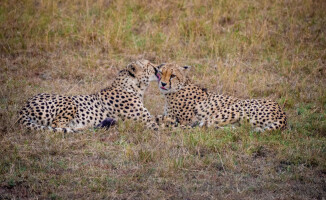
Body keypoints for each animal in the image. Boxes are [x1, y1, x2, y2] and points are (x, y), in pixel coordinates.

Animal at [18, 59, 160, 133]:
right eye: (149, 65)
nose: (158, 66)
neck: (132, 86)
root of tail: (23, 108)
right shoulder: (146, 122)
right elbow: (161, 127)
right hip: (70, 102)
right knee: (57, 125)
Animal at [154, 63, 286, 131]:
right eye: (161, 72)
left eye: (172, 75)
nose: (163, 84)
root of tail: (283, 115)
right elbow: (158, 115)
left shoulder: (185, 120)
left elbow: (166, 119)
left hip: (233, 109)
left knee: (202, 126)